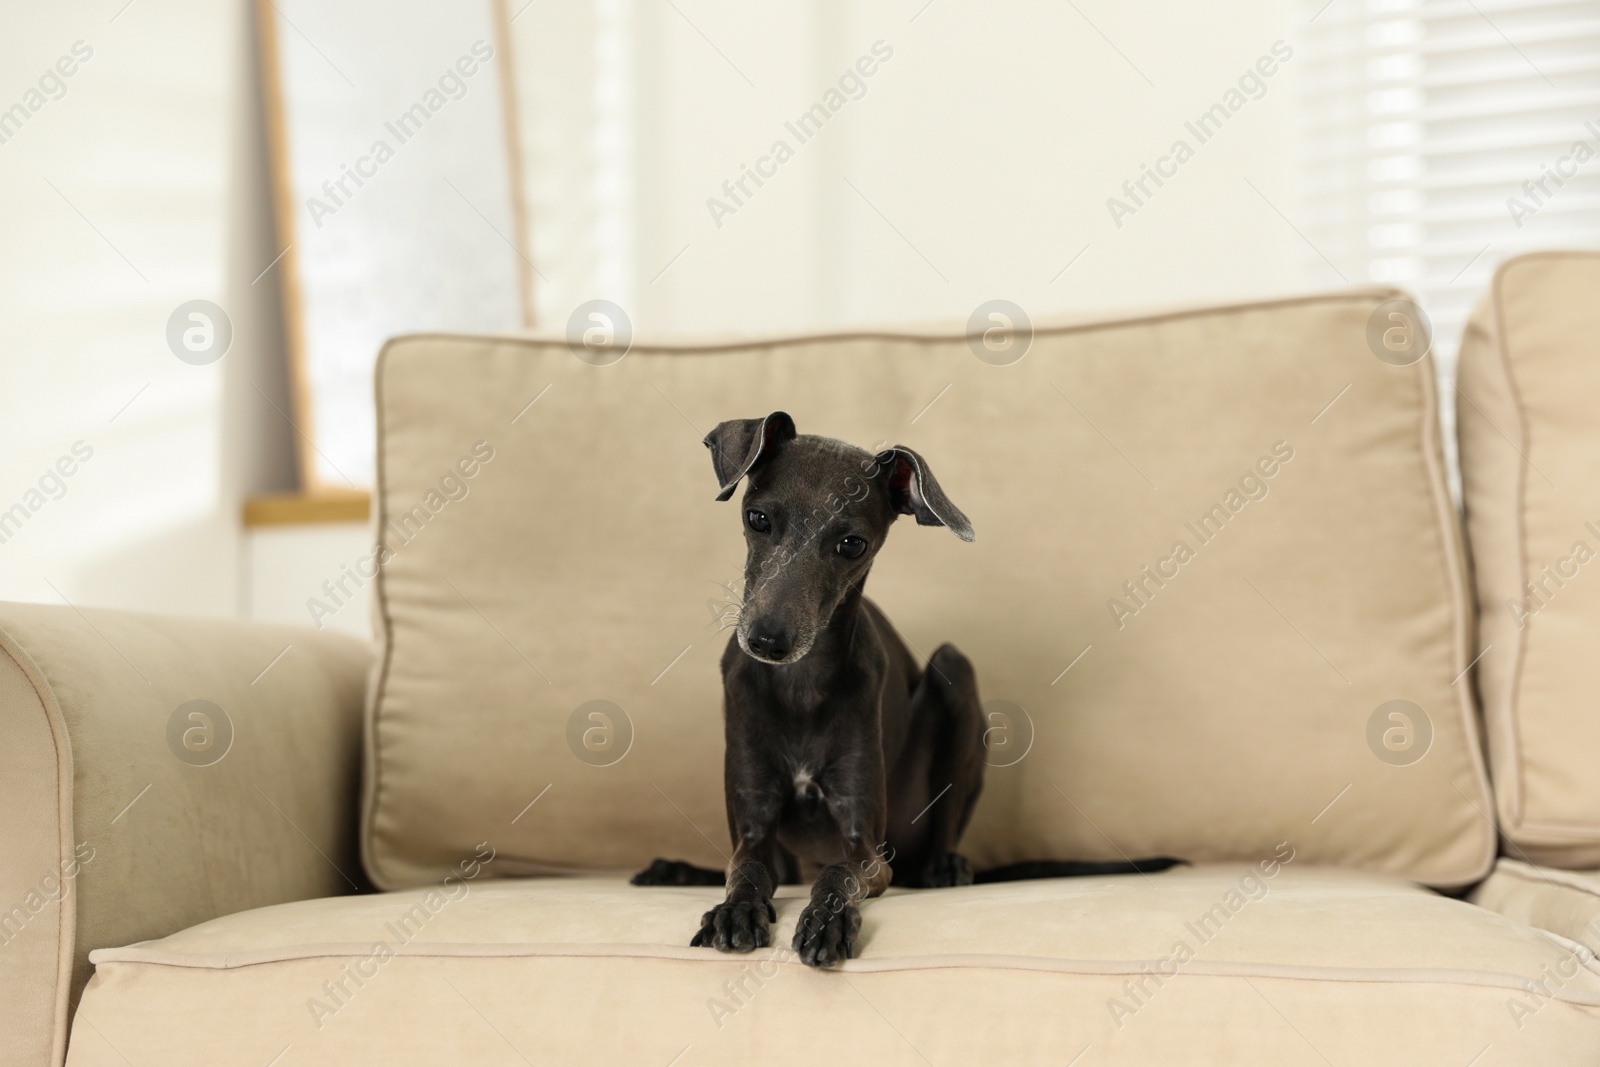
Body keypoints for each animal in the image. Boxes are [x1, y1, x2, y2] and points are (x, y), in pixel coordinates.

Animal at [633, 412, 1177, 966]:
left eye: (852, 544)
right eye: (758, 519)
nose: (767, 641)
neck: (800, 684)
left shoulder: (868, 848)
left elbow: (841, 871)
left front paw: (826, 922)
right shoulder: (752, 824)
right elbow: (745, 868)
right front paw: (737, 910)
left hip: (954, 677)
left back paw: (946, 868)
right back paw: (673, 871)